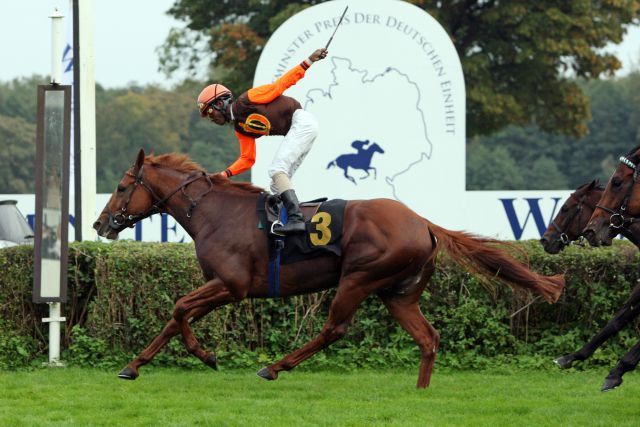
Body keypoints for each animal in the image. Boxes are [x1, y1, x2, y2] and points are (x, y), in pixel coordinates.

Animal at [92, 150, 564, 388]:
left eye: (121, 186)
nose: (100, 224)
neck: (212, 212)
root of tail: (423, 222)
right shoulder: (219, 284)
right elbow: (175, 317)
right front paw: (133, 366)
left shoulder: (232, 284)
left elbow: (177, 309)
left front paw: (206, 355)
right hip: (399, 293)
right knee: (428, 337)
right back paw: (420, 392)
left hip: (359, 278)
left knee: (334, 329)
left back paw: (274, 367)